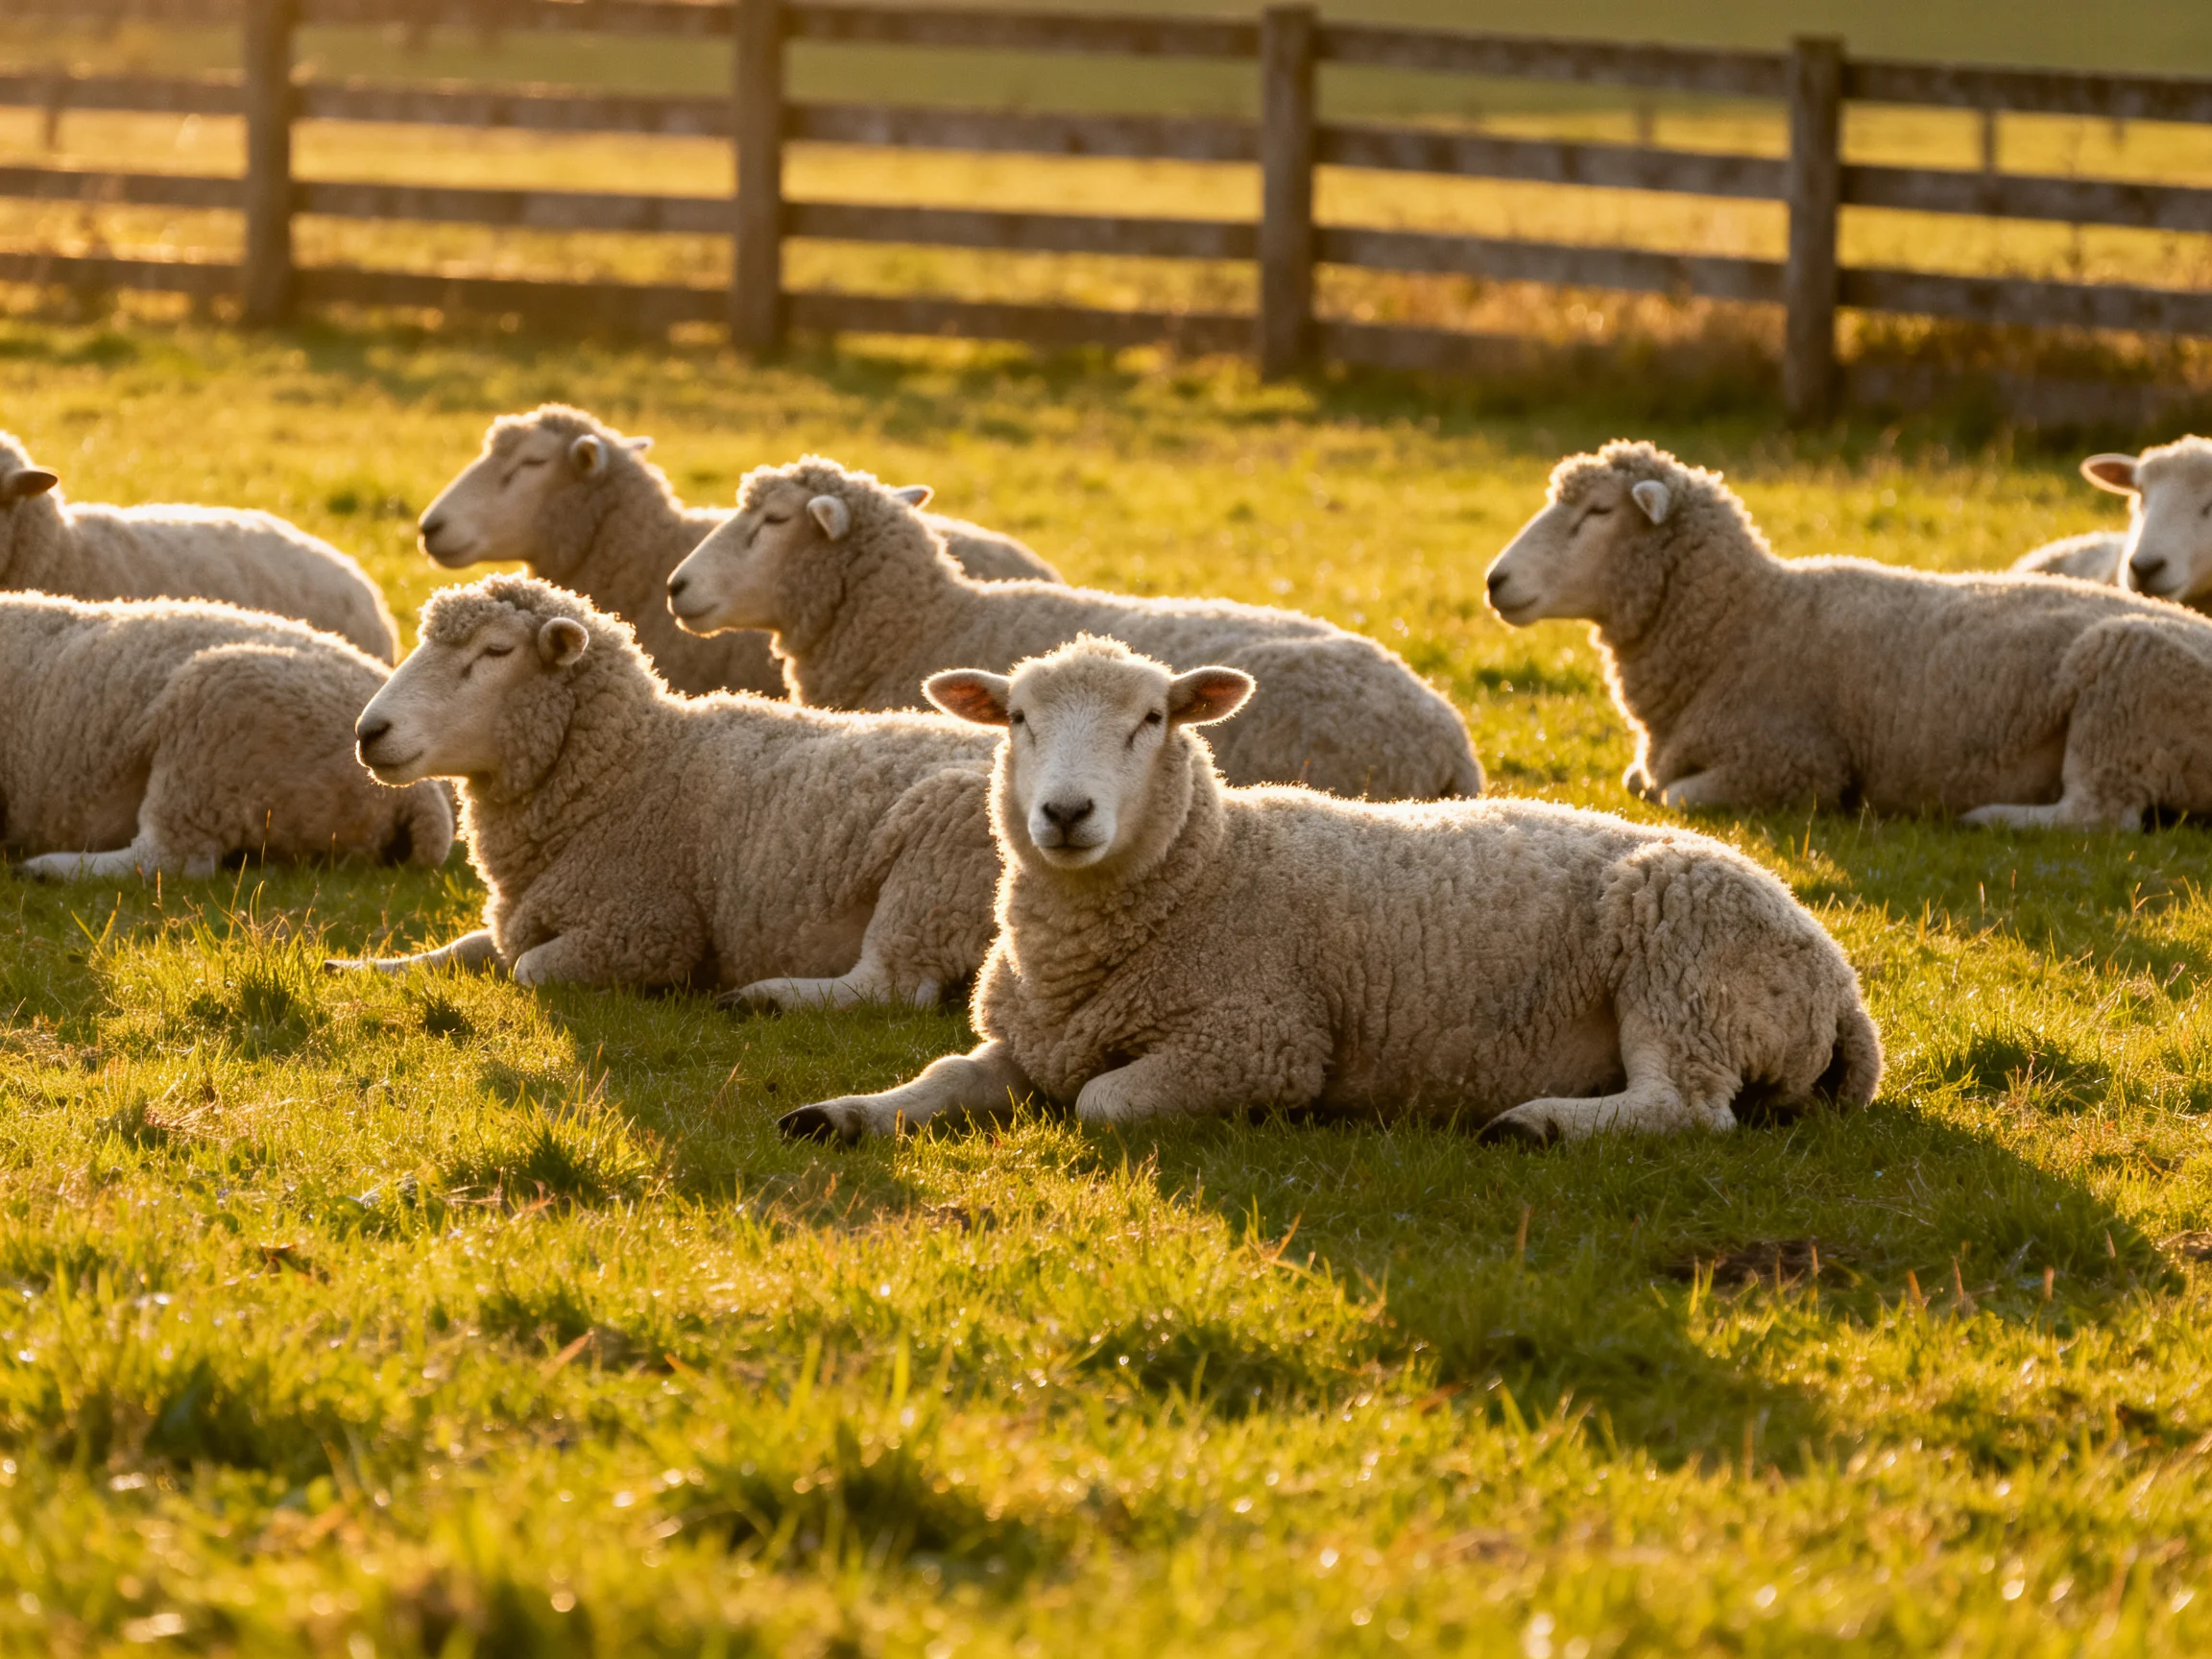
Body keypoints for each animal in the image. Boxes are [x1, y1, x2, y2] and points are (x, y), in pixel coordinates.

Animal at [326, 573, 1004, 1003]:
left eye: (495, 651)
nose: (368, 732)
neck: (629, 771)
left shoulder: (648, 930)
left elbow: (526, 968)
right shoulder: (528, 912)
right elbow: (468, 944)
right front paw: (360, 963)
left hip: (939, 866)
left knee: (893, 986)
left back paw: (764, 997)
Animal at [779, 636, 1879, 1145]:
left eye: (1151, 720)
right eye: (1015, 718)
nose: (1065, 813)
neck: (1209, 874)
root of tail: (1839, 979)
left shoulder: (1259, 1041)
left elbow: (1099, 1101)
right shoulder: (1023, 1040)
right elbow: (938, 1079)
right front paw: (840, 1113)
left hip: (1685, 965)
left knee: (1687, 1109)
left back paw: (1536, 1123)